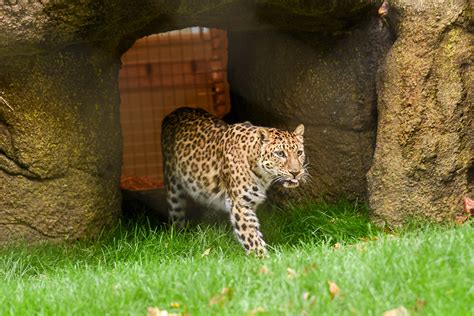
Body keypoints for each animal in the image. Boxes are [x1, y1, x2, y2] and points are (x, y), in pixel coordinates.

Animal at [160, 107, 308, 256]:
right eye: (280, 154)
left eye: (299, 153)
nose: (295, 172)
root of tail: (177, 111)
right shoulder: (240, 203)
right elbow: (251, 236)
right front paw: (263, 258)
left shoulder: (250, 201)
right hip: (173, 186)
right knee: (176, 215)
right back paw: (178, 236)